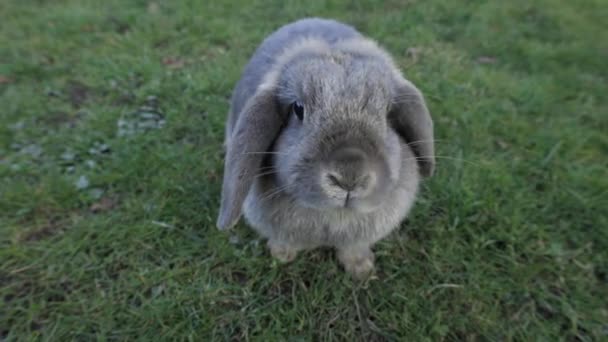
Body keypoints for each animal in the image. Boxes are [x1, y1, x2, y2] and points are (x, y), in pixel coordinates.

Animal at [216, 18, 434, 278]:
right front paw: (282, 256)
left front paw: (361, 269)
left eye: (387, 112)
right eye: (298, 109)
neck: (334, 215)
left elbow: (354, 247)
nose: (349, 177)